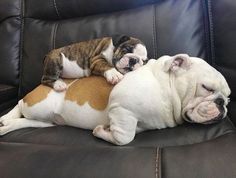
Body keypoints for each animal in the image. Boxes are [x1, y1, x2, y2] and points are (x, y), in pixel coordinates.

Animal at [0, 55, 230, 145]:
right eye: (207, 88)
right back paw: (6, 118)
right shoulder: (122, 107)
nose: (221, 103)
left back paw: (6, 126)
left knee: (25, 120)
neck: (167, 87)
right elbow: (124, 137)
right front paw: (102, 131)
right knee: (20, 103)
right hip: (40, 105)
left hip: (44, 121)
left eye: (228, 98)